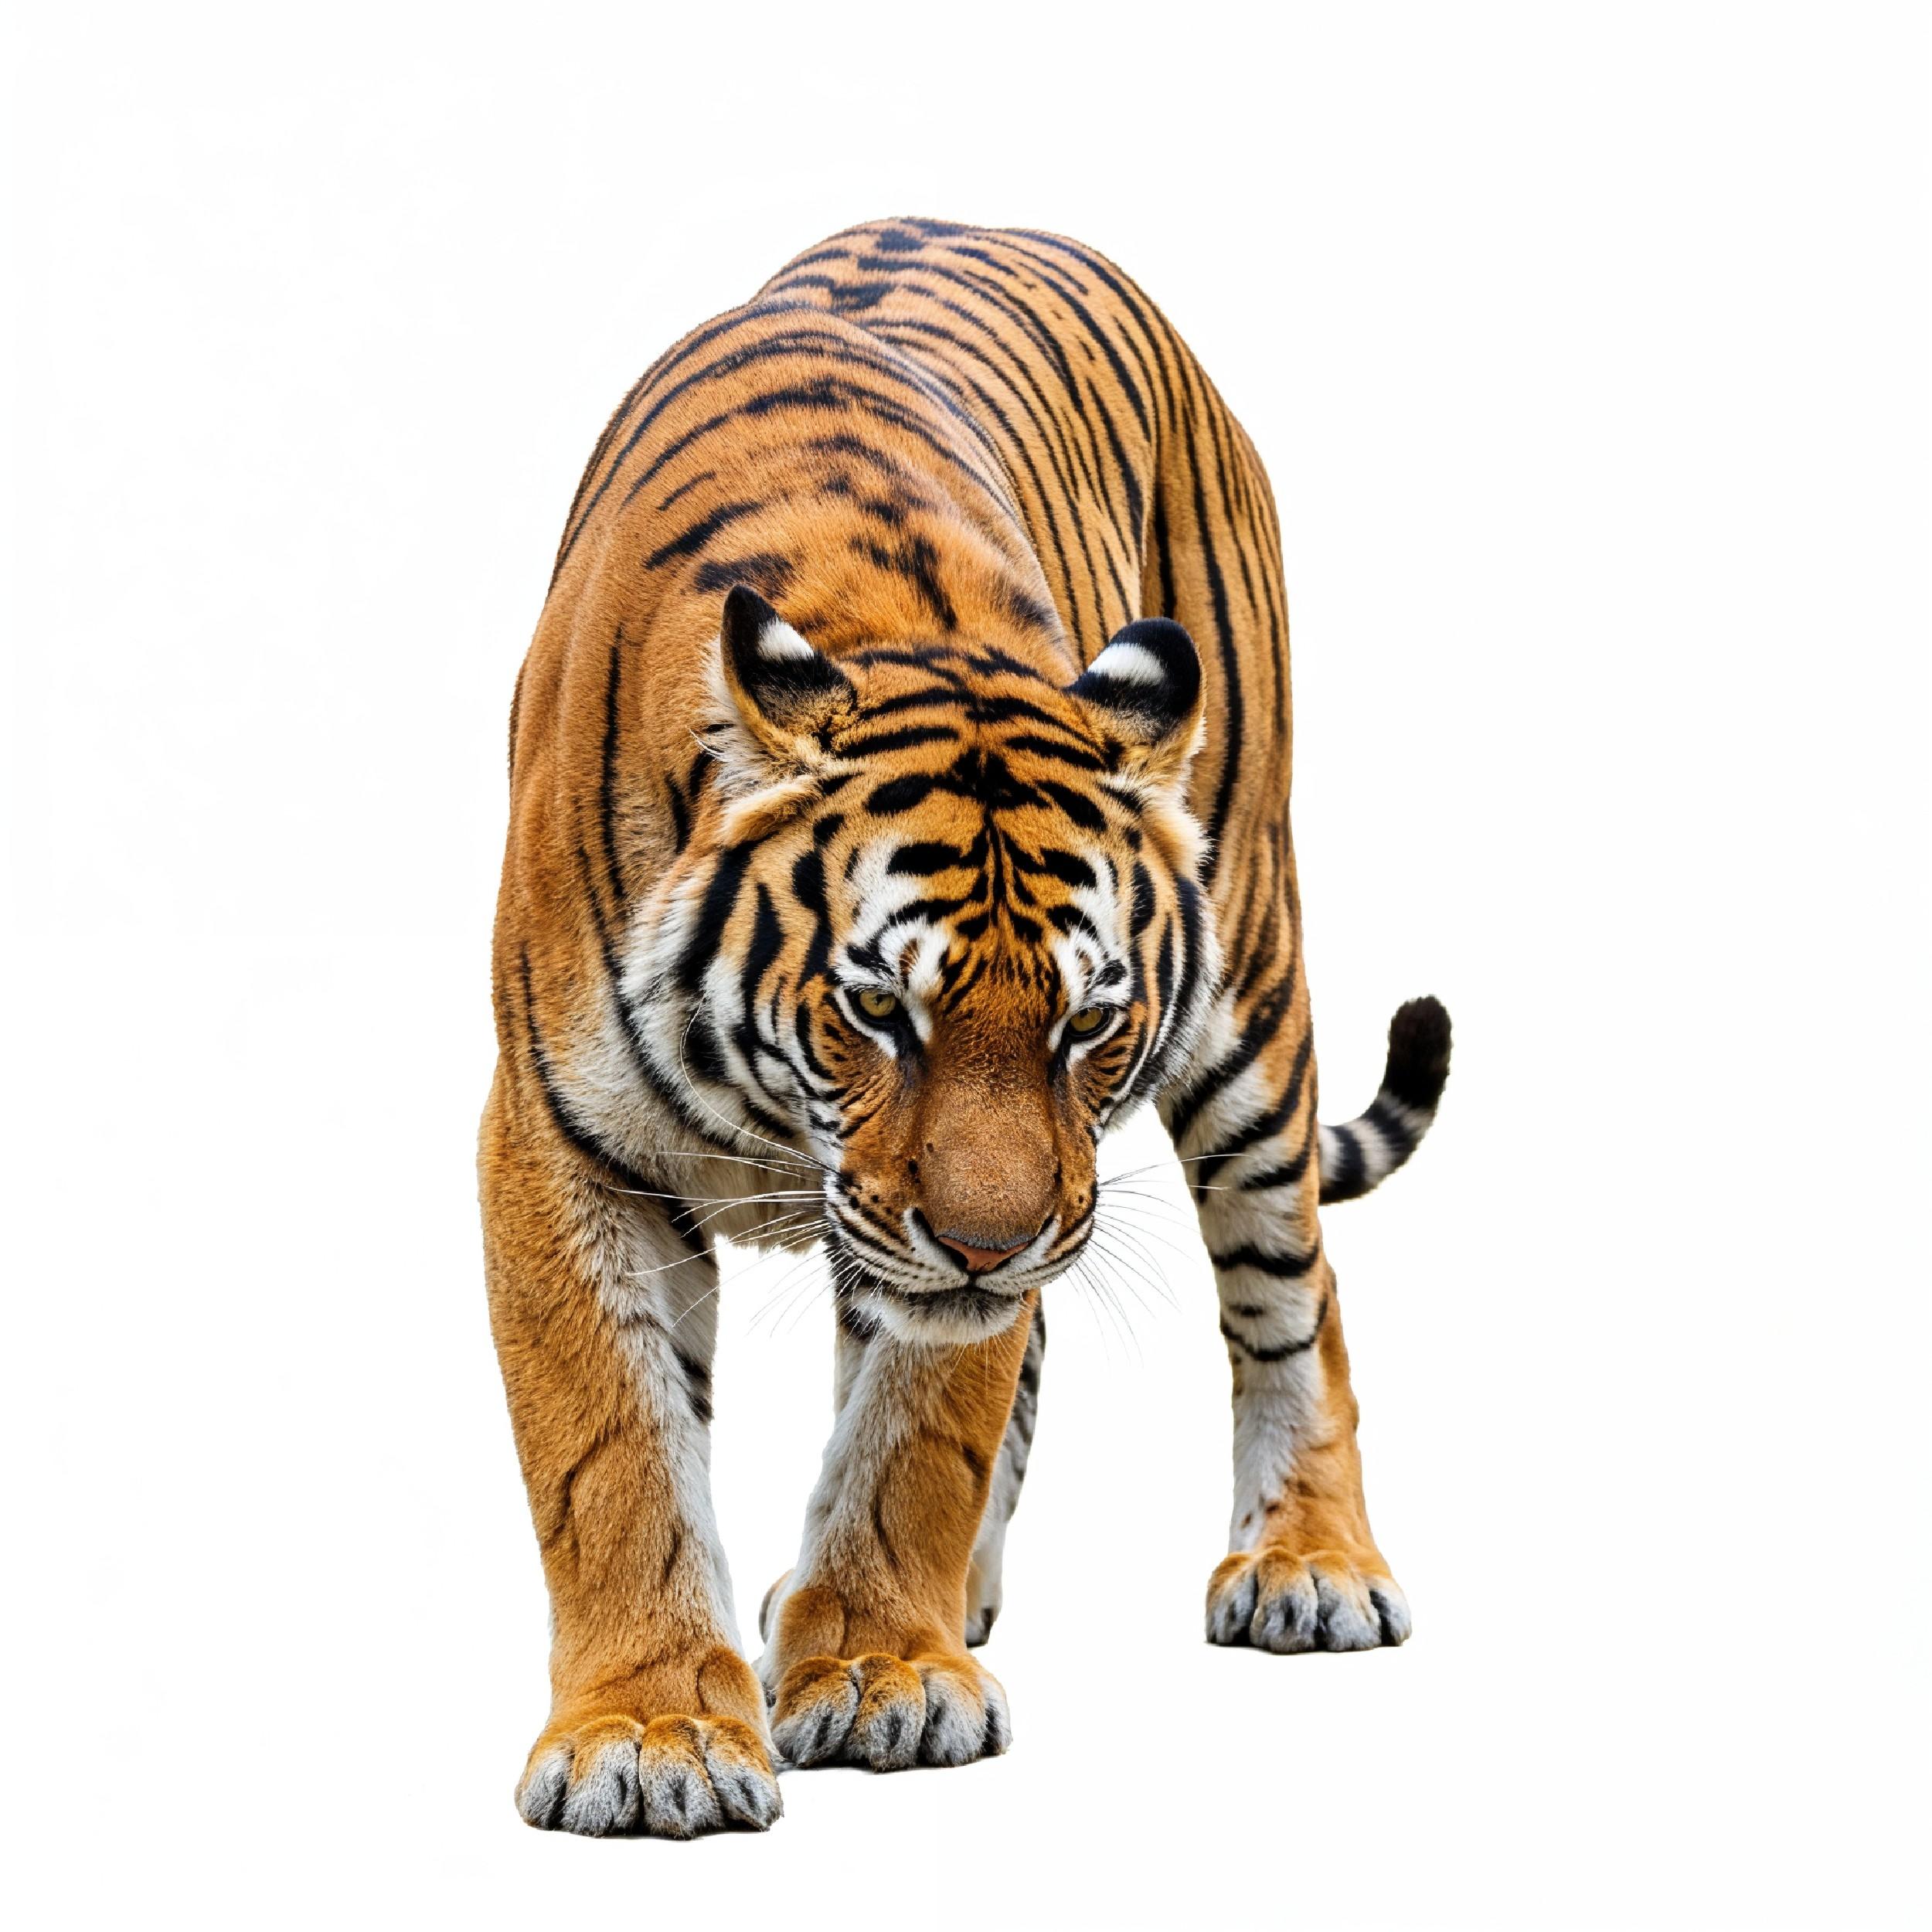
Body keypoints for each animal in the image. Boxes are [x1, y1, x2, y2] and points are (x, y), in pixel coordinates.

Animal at [483, 217, 1452, 1838]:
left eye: (1087, 1024)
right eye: (879, 1012)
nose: (989, 1242)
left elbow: (922, 1430)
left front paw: (882, 1672)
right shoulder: (558, 1141)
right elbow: (613, 1454)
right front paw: (654, 1733)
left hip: (1251, 982)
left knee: (1290, 1290)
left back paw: (1308, 1564)